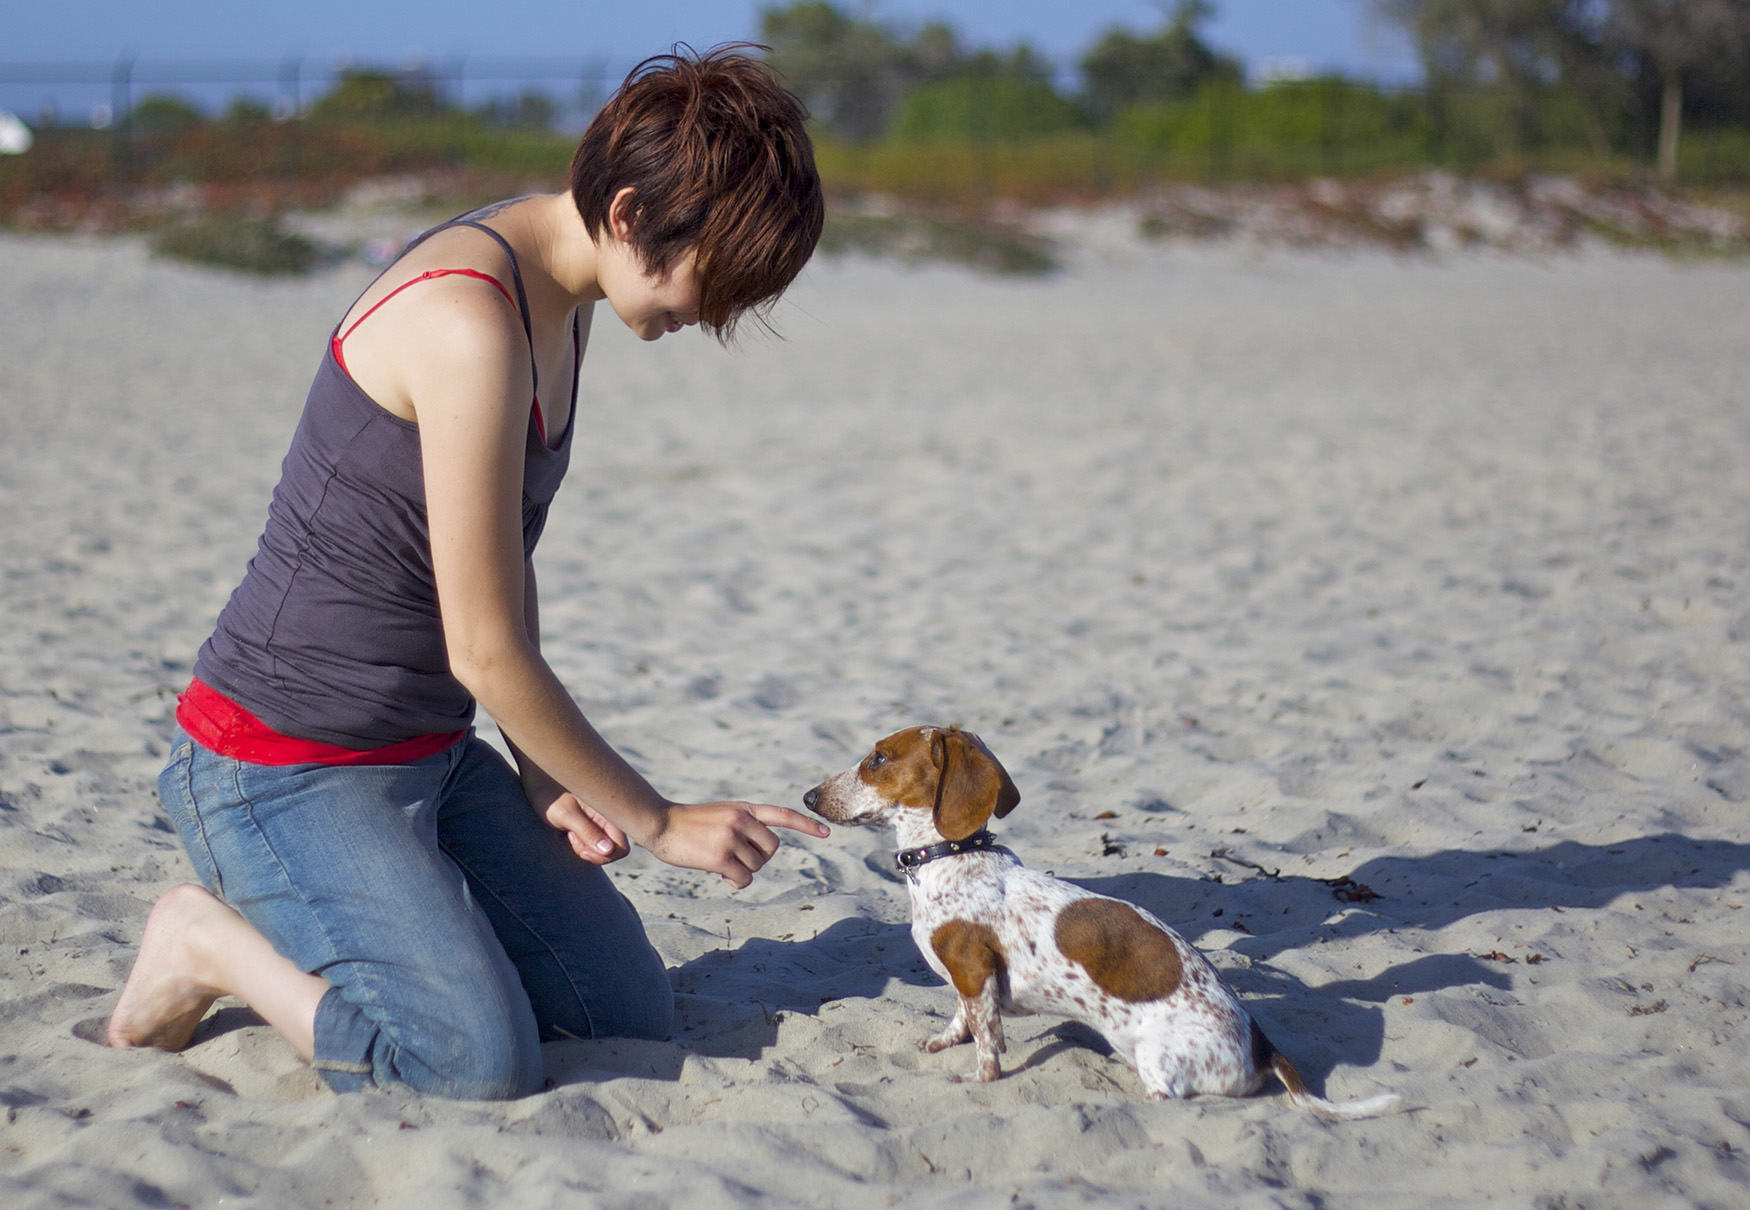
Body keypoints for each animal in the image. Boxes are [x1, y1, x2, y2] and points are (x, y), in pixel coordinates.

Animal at [801, 724, 1393, 1120]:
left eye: (878, 758)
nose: (807, 795)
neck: (952, 858)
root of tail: (1263, 1045)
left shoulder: (974, 973)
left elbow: (988, 1040)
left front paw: (980, 1079)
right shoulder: (969, 983)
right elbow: (962, 1019)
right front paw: (945, 1041)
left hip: (1156, 1052)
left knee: (1168, 1096)